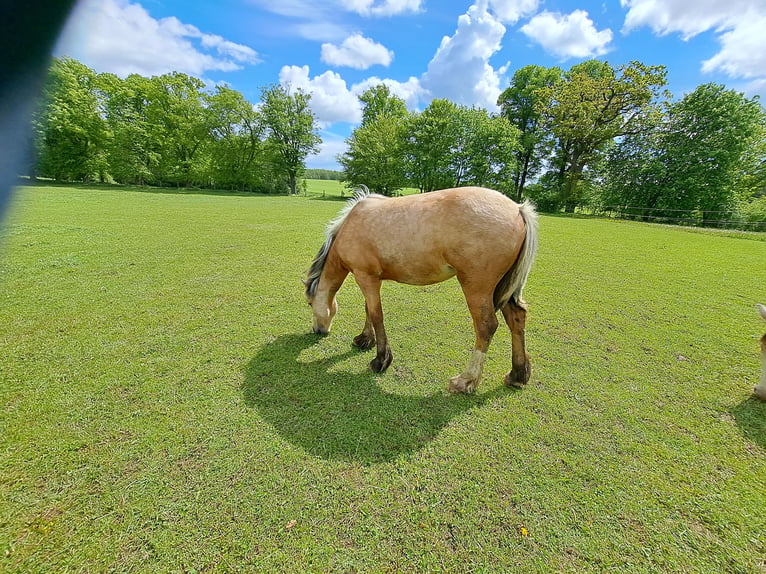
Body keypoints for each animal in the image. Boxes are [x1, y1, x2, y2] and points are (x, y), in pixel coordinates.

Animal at [304, 186, 539, 394]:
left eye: (309, 303)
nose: (317, 330)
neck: (350, 225)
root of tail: (518, 209)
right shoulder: (371, 279)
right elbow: (368, 310)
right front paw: (365, 340)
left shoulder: (365, 277)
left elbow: (377, 315)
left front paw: (381, 360)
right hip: (504, 287)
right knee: (517, 318)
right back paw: (517, 375)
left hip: (477, 288)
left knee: (486, 327)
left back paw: (466, 381)